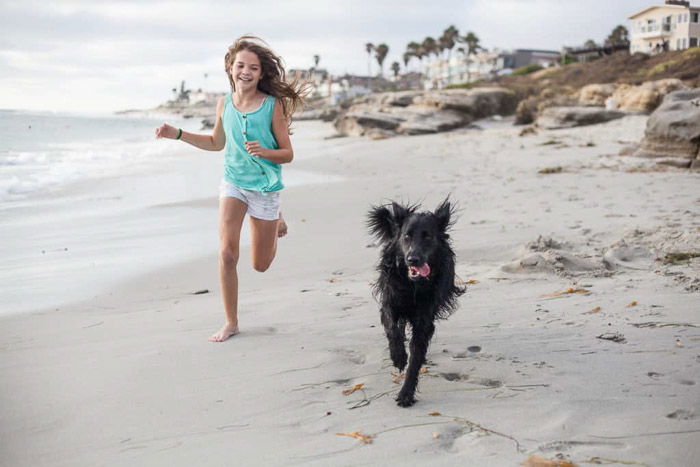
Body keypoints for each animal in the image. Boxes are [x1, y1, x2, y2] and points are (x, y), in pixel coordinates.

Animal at [366, 199, 464, 408]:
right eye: (407, 236)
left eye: (428, 237)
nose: (413, 259)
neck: (413, 284)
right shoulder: (389, 302)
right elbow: (392, 328)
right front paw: (398, 356)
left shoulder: (424, 318)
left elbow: (416, 354)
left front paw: (406, 394)